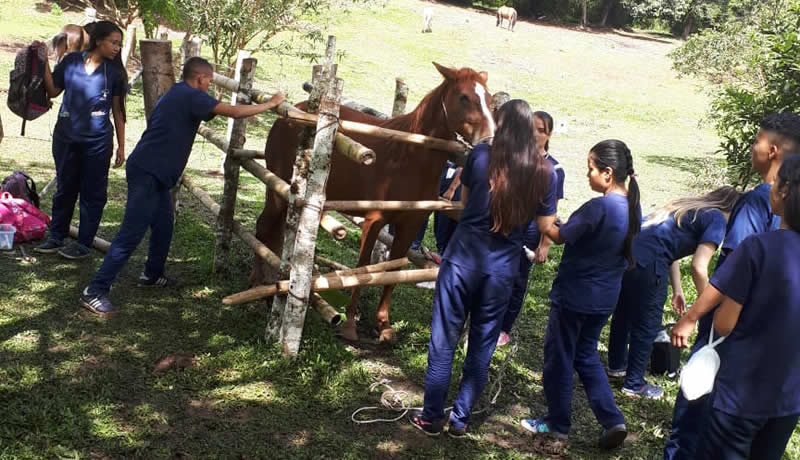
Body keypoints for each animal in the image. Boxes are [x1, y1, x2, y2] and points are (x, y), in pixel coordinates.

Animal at [253, 62, 496, 342]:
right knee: (264, 228)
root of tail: (290, 114)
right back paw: (258, 286)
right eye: (464, 97)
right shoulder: (374, 222)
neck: (409, 157)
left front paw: (383, 325)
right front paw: (349, 325)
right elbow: (363, 270)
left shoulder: (409, 226)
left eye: (490, 100)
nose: (489, 140)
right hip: (278, 192)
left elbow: (391, 273)